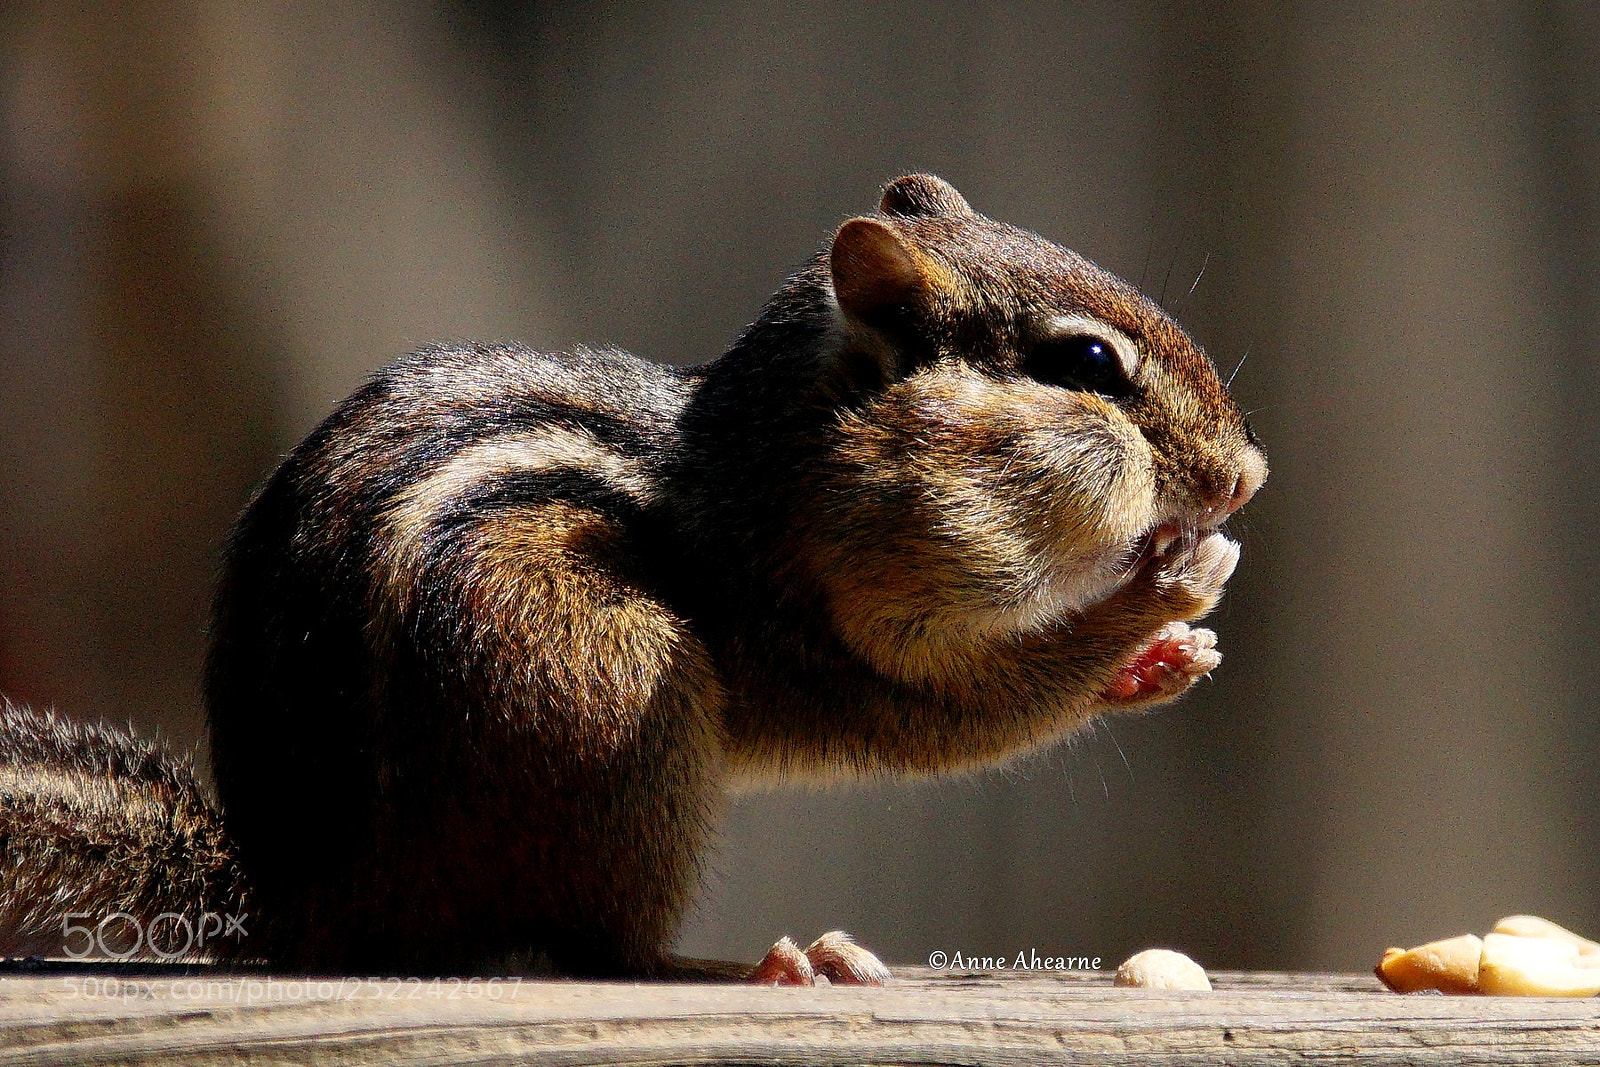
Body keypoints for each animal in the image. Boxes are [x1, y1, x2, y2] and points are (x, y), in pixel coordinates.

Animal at [0, 174, 1264, 982]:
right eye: (1085, 361)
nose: (1246, 477)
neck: (774, 460)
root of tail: (310, 909)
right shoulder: (810, 626)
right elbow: (961, 713)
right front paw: (1164, 598)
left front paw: (1169, 651)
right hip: (605, 697)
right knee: (602, 948)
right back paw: (760, 961)